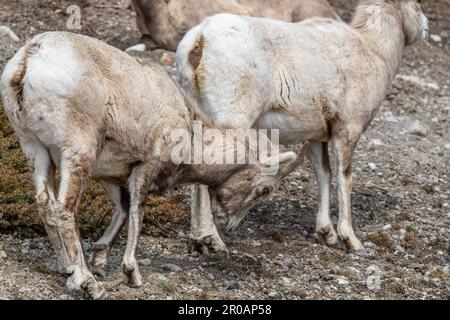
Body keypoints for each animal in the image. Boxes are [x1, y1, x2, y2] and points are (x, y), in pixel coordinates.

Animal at [176, 0, 428, 255]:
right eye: (417, 6)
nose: (426, 27)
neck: (374, 51)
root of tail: (201, 38)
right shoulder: (347, 131)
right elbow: (344, 178)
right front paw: (351, 240)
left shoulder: (316, 137)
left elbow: (324, 175)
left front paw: (326, 234)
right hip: (232, 119)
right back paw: (212, 241)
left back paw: (202, 240)